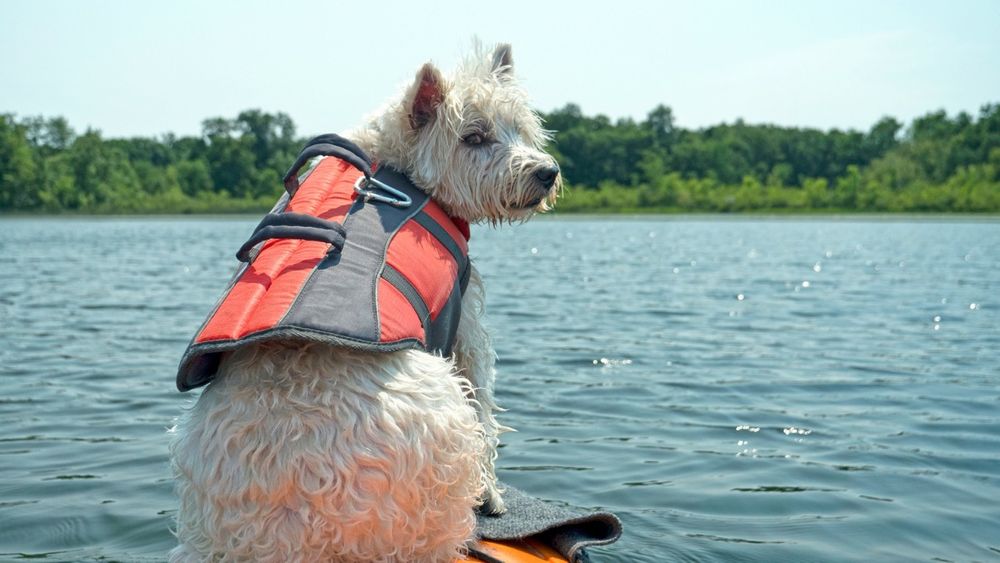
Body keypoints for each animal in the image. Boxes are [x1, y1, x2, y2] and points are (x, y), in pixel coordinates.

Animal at [172, 45, 564, 563]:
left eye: (521, 129)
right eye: (474, 137)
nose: (547, 172)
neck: (403, 167)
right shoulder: (464, 324)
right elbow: (485, 407)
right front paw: (493, 498)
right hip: (440, 413)